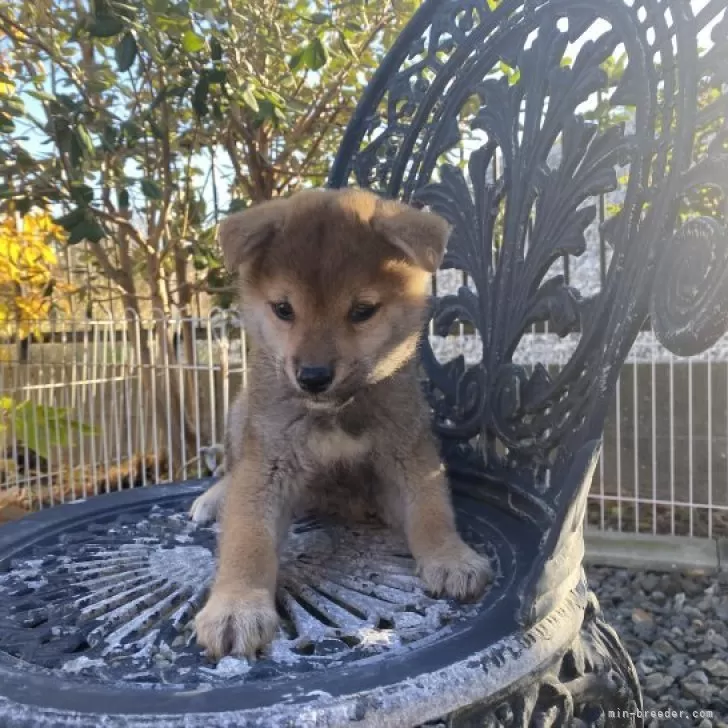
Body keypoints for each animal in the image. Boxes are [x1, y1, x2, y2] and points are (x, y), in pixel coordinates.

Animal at [191, 188, 492, 660]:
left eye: (362, 310)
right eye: (283, 309)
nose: (313, 376)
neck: (333, 410)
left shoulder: (406, 455)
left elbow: (430, 510)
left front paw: (450, 557)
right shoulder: (267, 466)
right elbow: (247, 537)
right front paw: (236, 606)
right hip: (241, 414)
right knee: (230, 469)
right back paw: (212, 497)